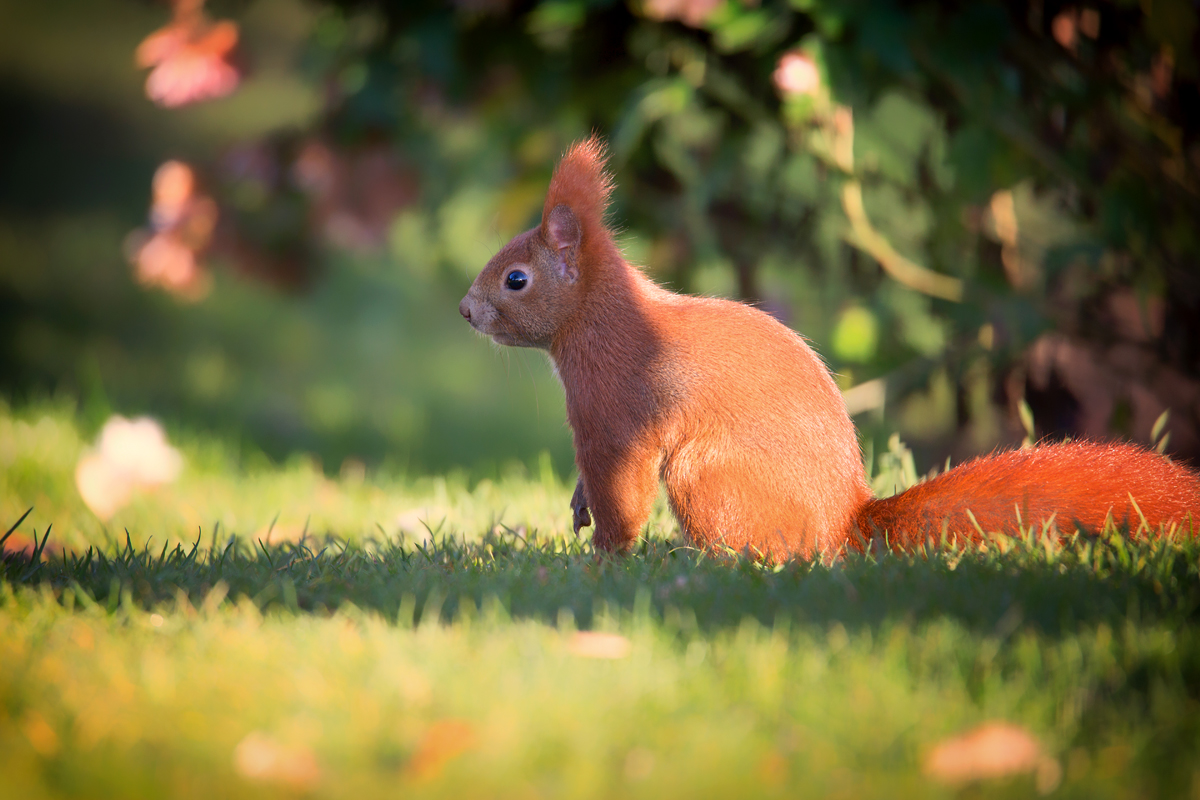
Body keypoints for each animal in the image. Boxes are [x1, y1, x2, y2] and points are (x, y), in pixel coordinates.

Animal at [458, 136, 1200, 563]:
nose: (465, 311)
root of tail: (846, 524)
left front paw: (605, 557)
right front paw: (579, 509)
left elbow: (621, 492)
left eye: (516, 279)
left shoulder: (613, 410)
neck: (602, 318)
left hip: (706, 475)